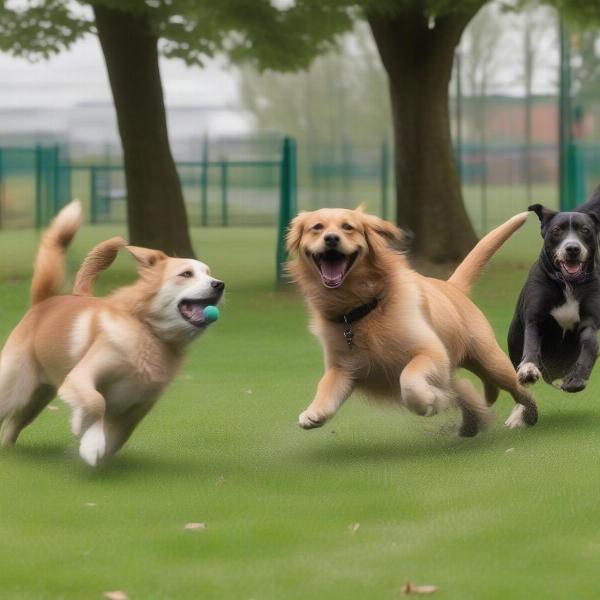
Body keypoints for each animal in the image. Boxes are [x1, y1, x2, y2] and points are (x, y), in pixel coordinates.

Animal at [0, 202, 224, 464]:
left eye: (209, 273)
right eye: (186, 274)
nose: (219, 284)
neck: (147, 332)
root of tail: (44, 302)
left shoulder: (139, 407)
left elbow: (117, 437)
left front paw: (91, 445)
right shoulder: (80, 376)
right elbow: (96, 402)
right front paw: (85, 433)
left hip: (35, 398)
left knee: (13, 425)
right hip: (13, 387)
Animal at [288, 207, 540, 436]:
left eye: (348, 227)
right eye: (317, 227)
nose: (331, 238)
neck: (362, 311)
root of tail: (452, 287)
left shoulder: (431, 352)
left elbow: (408, 380)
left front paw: (428, 402)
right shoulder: (343, 368)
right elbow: (326, 387)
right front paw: (313, 413)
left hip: (491, 359)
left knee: (518, 388)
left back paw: (525, 415)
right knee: (466, 387)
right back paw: (472, 422)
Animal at [506, 203, 600, 394]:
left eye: (585, 230)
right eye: (557, 230)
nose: (572, 248)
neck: (569, 284)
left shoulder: (590, 320)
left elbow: (589, 345)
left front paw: (577, 378)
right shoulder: (535, 318)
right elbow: (531, 342)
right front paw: (528, 369)